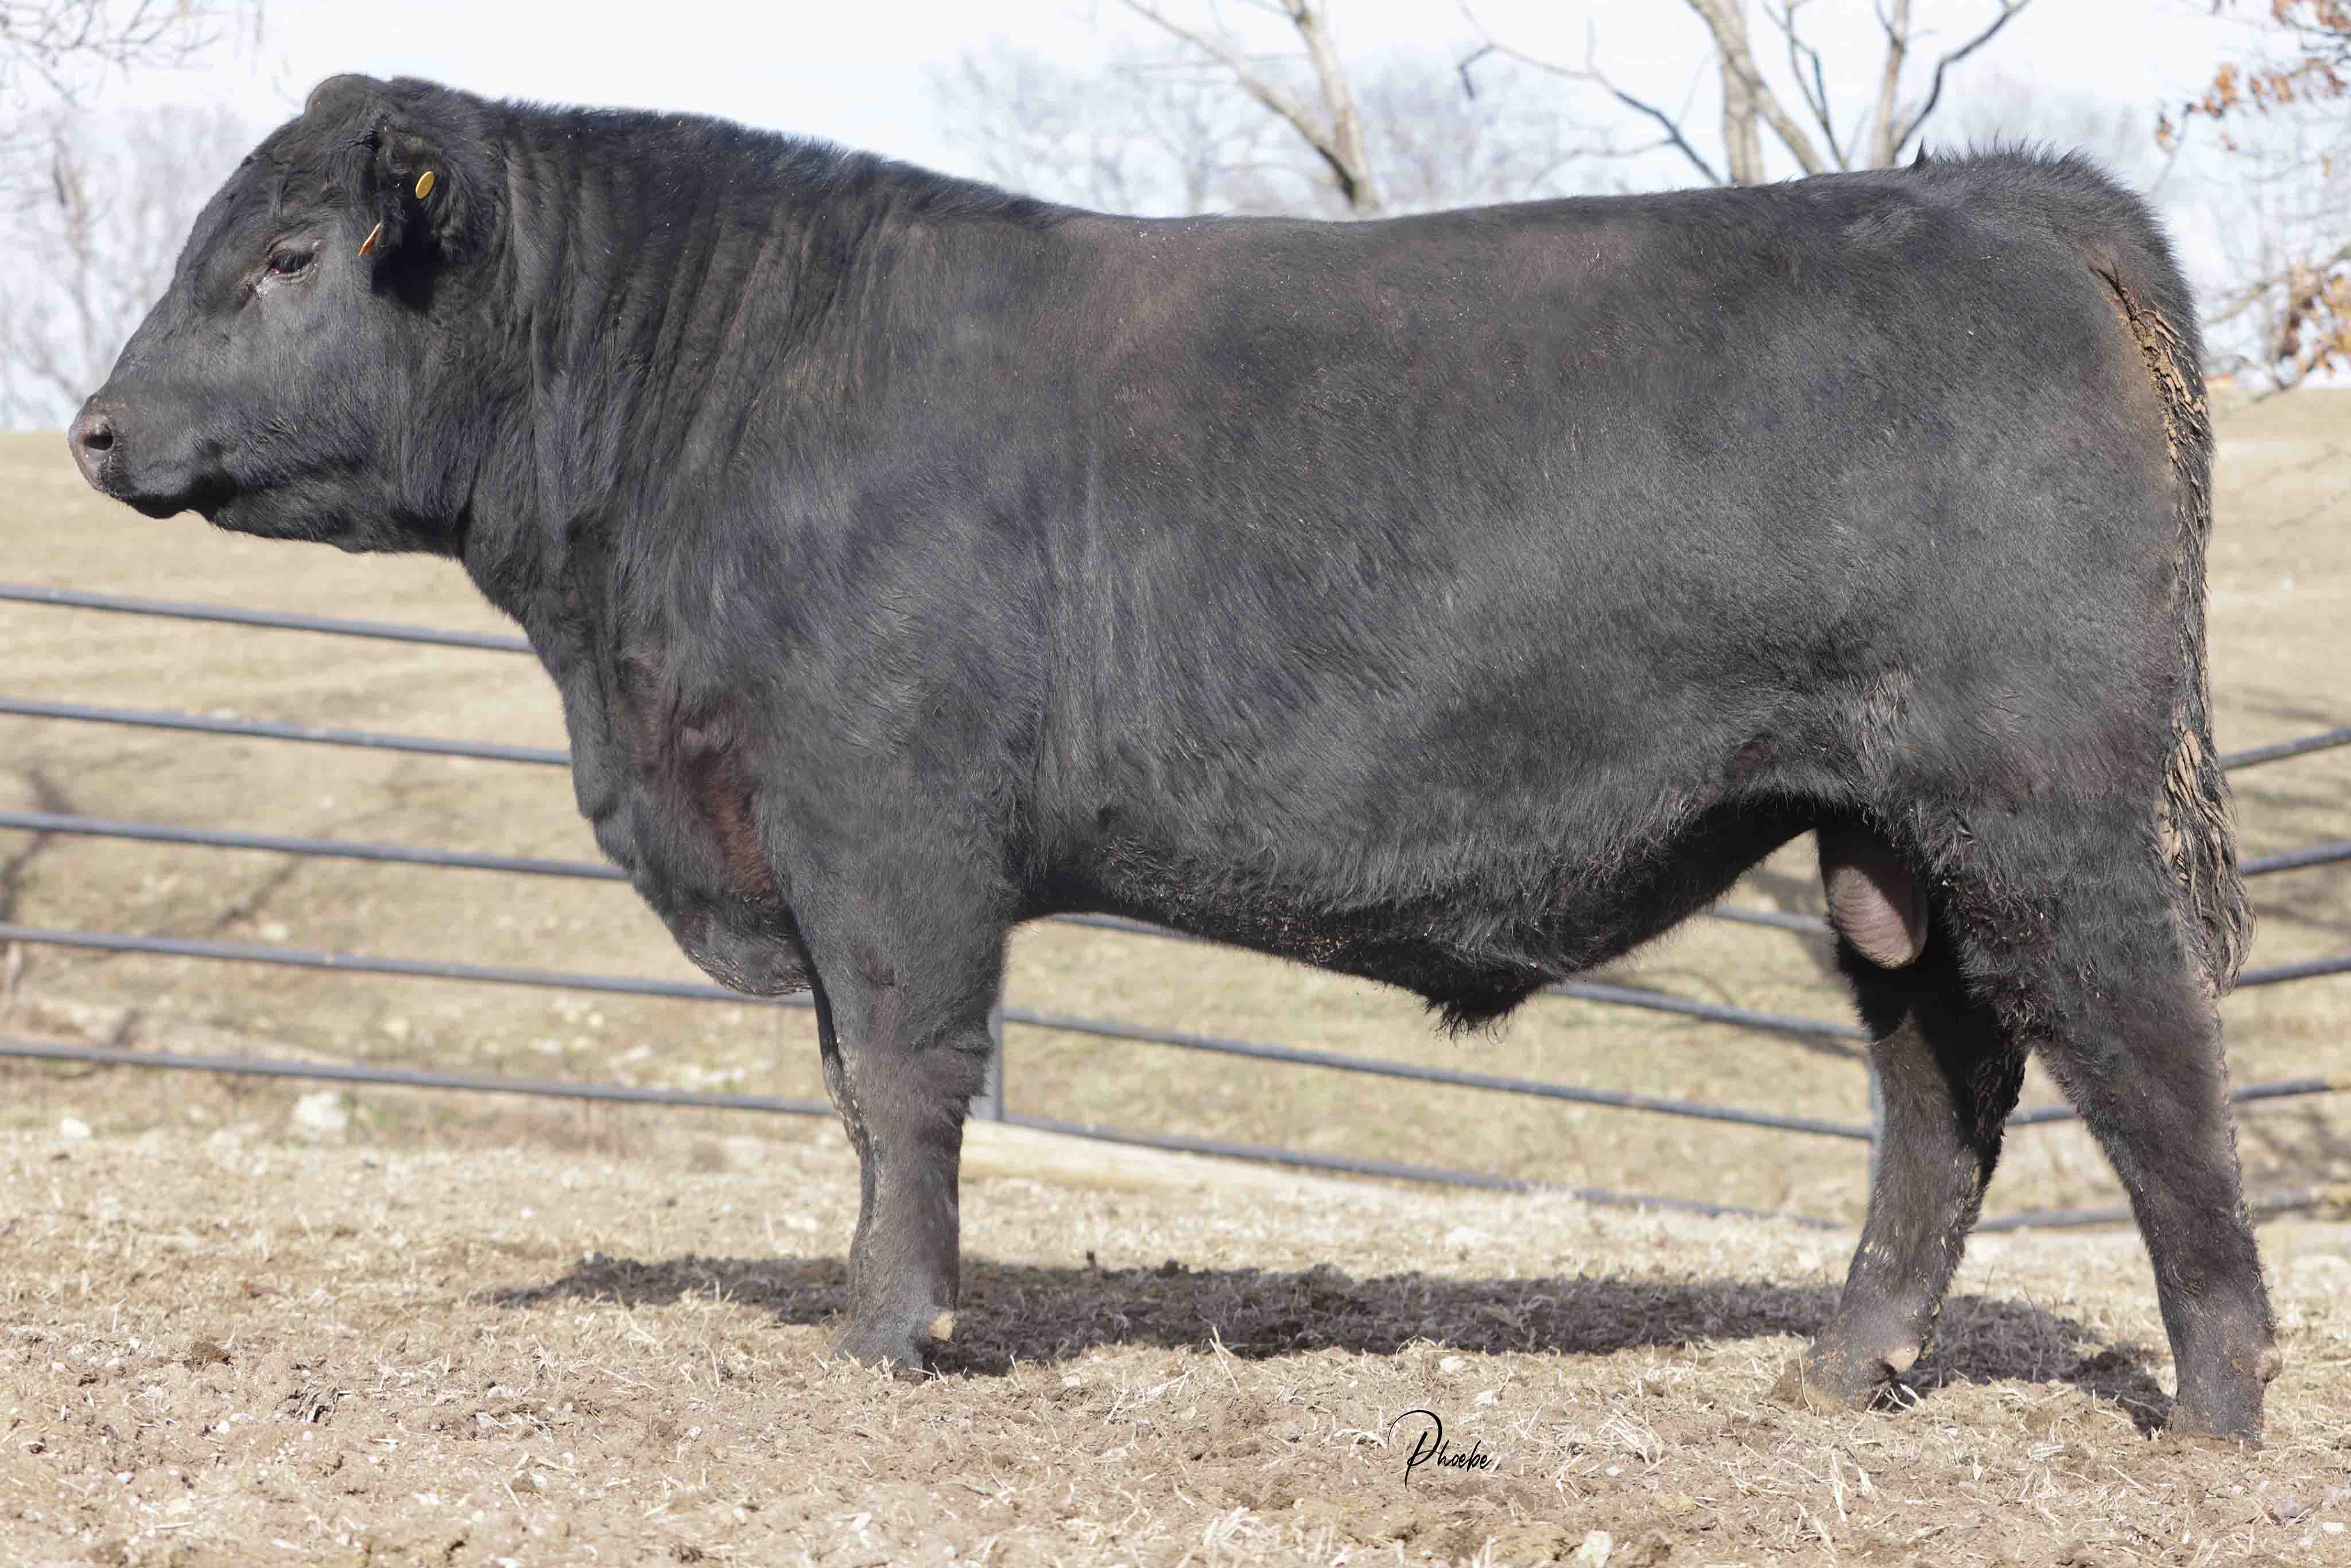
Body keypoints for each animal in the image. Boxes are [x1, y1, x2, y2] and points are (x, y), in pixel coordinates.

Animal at [68, 74, 2279, 1443]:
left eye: (289, 257)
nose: (92, 427)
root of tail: (1995, 187)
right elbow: (853, 1094)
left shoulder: (887, 824)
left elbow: (902, 1078)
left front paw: (886, 1326)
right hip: (1871, 833)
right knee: (1941, 1080)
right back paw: (1847, 1365)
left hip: (2040, 797)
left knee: (2144, 1045)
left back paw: (2217, 1397)